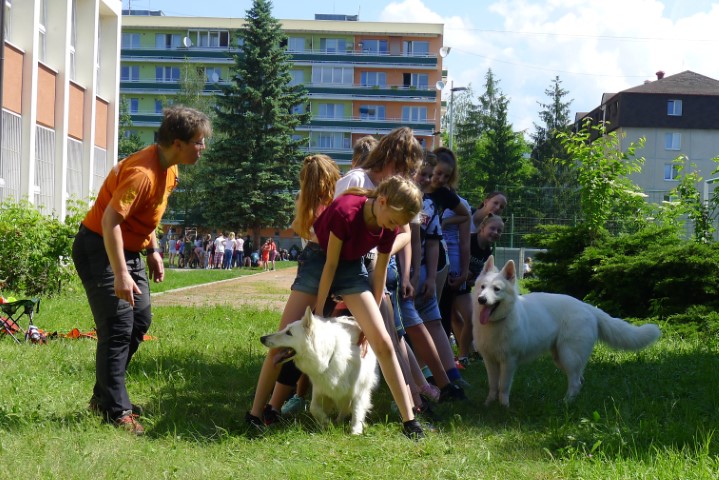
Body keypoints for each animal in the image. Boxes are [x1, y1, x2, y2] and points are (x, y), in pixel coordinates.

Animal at [260, 306, 378, 434]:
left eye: (289, 333)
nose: (262, 338)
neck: (329, 357)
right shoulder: (320, 388)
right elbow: (313, 408)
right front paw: (326, 422)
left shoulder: (359, 391)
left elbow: (357, 411)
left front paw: (355, 431)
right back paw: (337, 421)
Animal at [472, 256, 661, 407]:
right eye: (482, 287)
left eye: (497, 289)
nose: (481, 300)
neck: (497, 323)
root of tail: (587, 307)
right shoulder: (490, 361)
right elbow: (493, 385)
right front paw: (489, 403)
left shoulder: (509, 361)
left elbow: (503, 386)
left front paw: (504, 406)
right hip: (563, 358)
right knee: (580, 380)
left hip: (568, 356)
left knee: (576, 382)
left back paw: (565, 403)